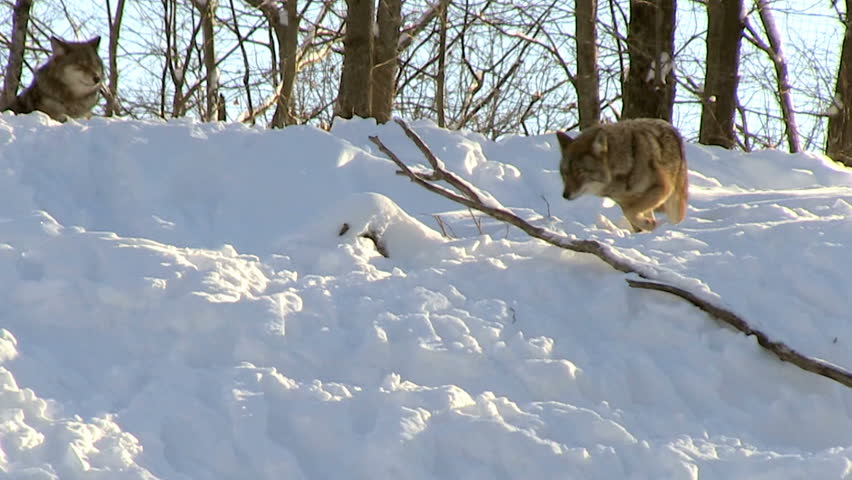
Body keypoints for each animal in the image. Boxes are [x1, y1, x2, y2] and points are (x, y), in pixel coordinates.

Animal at [556, 118, 688, 232]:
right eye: (565, 173)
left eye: (579, 171)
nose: (565, 195)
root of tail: (669, 125)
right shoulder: (625, 203)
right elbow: (629, 213)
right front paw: (648, 226)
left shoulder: (662, 188)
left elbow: (630, 212)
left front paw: (649, 225)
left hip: (673, 202)